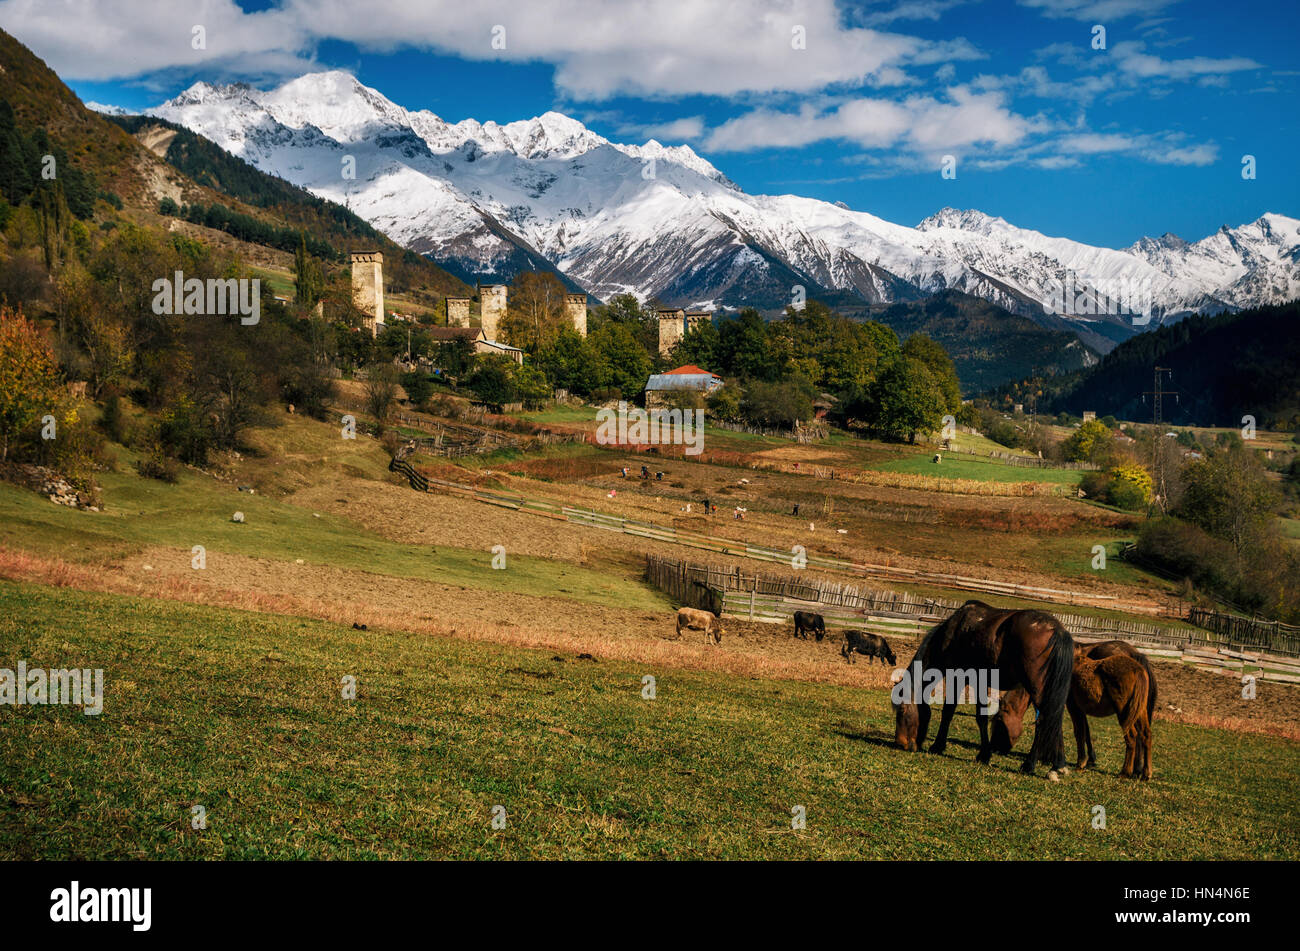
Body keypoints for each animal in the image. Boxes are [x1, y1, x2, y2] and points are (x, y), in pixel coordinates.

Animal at [894, 602, 1076, 779]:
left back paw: (1029, 764)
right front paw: (984, 754)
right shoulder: (979, 682)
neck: (954, 632)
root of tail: (1057, 630)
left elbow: (949, 712)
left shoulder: (957, 677)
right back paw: (1058, 765)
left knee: (1044, 721)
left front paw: (938, 746)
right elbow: (981, 717)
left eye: (902, 710)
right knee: (1054, 720)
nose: (900, 743)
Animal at [993, 639, 1159, 779]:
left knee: (1132, 736)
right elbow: (1083, 731)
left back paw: (1126, 772)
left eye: (999, 720)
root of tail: (1139, 668)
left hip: (1124, 713)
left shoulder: (1069, 706)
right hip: (1138, 711)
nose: (997, 748)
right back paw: (1144, 772)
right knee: (1146, 735)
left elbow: (1074, 731)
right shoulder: (1077, 707)